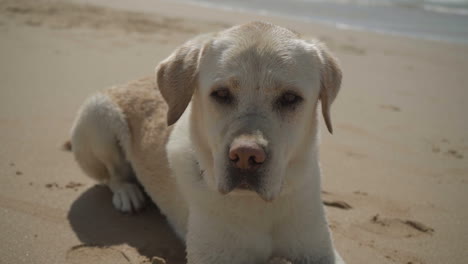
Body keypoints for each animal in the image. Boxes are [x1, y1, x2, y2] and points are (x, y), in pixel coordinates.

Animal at [70, 21, 348, 262]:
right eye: (221, 94)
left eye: (290, 98)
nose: (246, 156)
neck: (257, 206)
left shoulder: (321, 250)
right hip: (99, 113)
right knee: (112, 174)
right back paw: (127, 192)